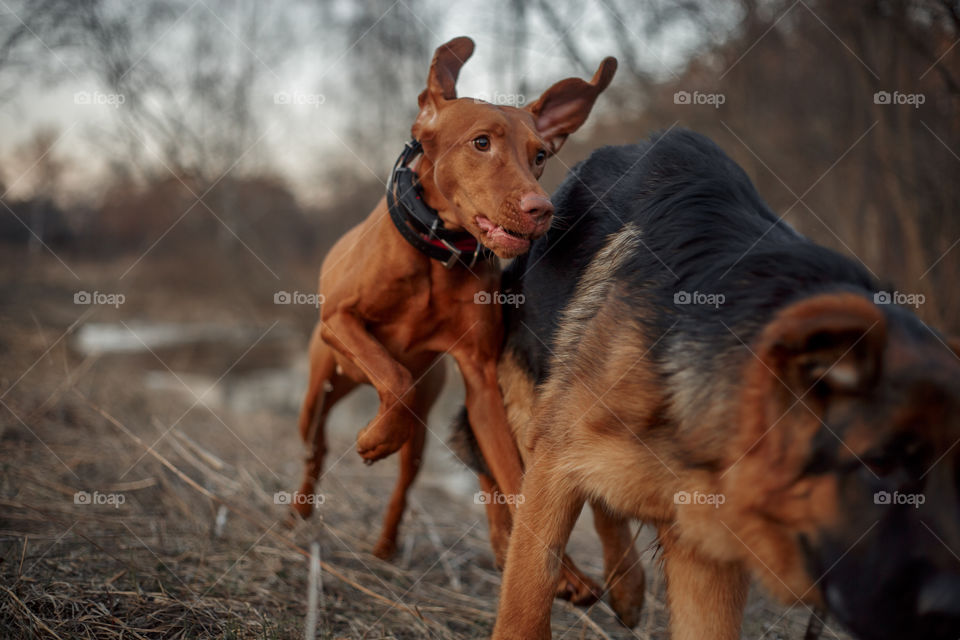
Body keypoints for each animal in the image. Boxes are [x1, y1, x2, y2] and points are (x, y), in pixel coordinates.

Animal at [290, 36, 616, 604]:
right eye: (481, 143)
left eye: (539, 156)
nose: (542, 209)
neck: (438, 255)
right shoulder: (340, 319)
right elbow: (391, 372)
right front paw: (373, 438)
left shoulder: (482, 380)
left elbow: (512, 473)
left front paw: (564, 573)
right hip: (319, 388)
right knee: (317, 444)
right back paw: (302, 511)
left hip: (423, 429)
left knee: (407, 481)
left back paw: (388, 545)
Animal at [492, 131, 960, 640]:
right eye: (879, 463)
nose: (950, 608)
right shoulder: (553, 471)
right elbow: (525, 606)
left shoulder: (705, 554)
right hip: (534, 413)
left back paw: (628, 587)